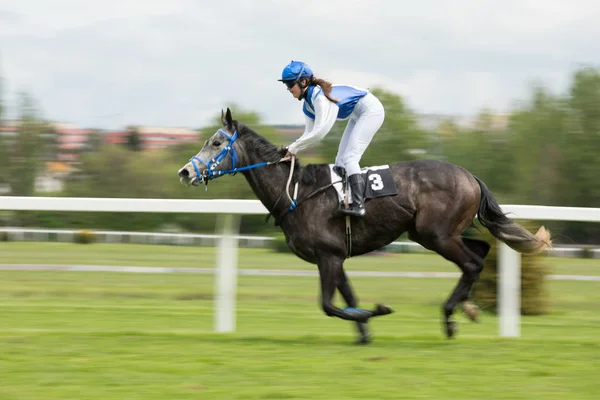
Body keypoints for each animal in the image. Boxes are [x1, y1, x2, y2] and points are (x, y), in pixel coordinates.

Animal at [178, 107, 552, 344]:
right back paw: (469, 307)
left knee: (472, 263)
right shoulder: (333, 257)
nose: (184, 172)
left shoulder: (328, 256)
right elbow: (347, 298)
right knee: (482, 250)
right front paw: (365, 329)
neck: (296, 192)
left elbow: (329, 306)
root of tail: (470, 176)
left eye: (216, 143)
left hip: (437, 235)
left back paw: (450, 316)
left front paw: (376, 312)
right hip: (435, 234)